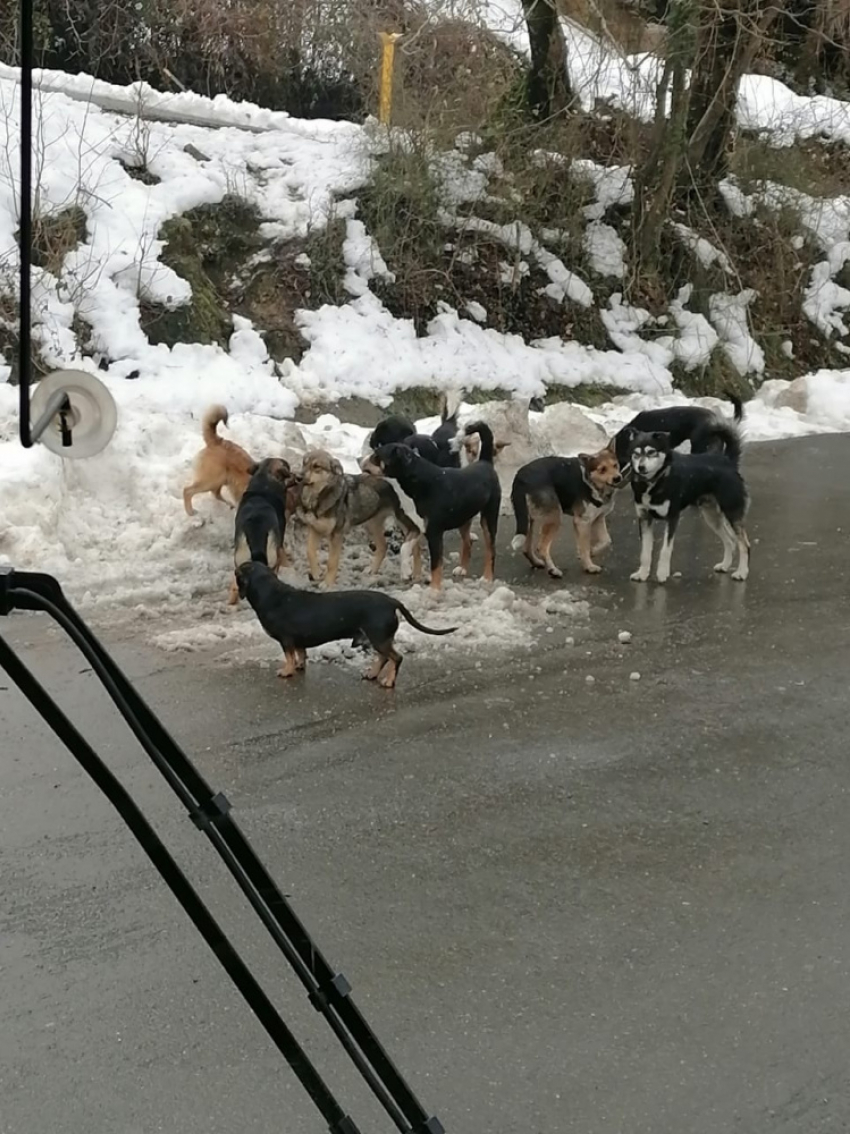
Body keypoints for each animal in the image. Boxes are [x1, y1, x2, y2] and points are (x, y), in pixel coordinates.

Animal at [296, 446, 423, 585]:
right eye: (304, 463)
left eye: (316, 466)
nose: (297, 477)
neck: (318, 497)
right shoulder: (314, 529)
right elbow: (309, 551)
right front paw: (316, 573)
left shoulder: (336, 535)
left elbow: (332, 562)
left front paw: (327, 583)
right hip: (372, 523)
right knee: (383, 547)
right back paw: (373, 570)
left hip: (402, 520)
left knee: (416, 547)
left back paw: (416, 575)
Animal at [364, 421, 498, 589]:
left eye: (377, 456)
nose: (361, 460)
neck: (419, 483)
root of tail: (485, 462)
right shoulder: (416, 527)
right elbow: (404, 548)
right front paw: (406, 572)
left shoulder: (434, 533)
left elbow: (436, 565)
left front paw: (433, 589)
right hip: (464, 519)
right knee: (467, 542)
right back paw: (462, 568)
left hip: (489, 518)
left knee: (490, 549)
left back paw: (487, 578)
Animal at [625, 424, 752, 585]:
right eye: (635, 454)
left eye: (651, 452)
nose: (641, 467)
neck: (655, 481)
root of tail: (728, 460)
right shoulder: (644, 518)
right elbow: (645, 552)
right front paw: (642, 574)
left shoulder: (672, 518)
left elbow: (666, 550)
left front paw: (662, 573)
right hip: (712, 517)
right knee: (729, 541)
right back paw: (725, 565)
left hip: (732, 513)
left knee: (744, 545)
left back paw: (741, 573)